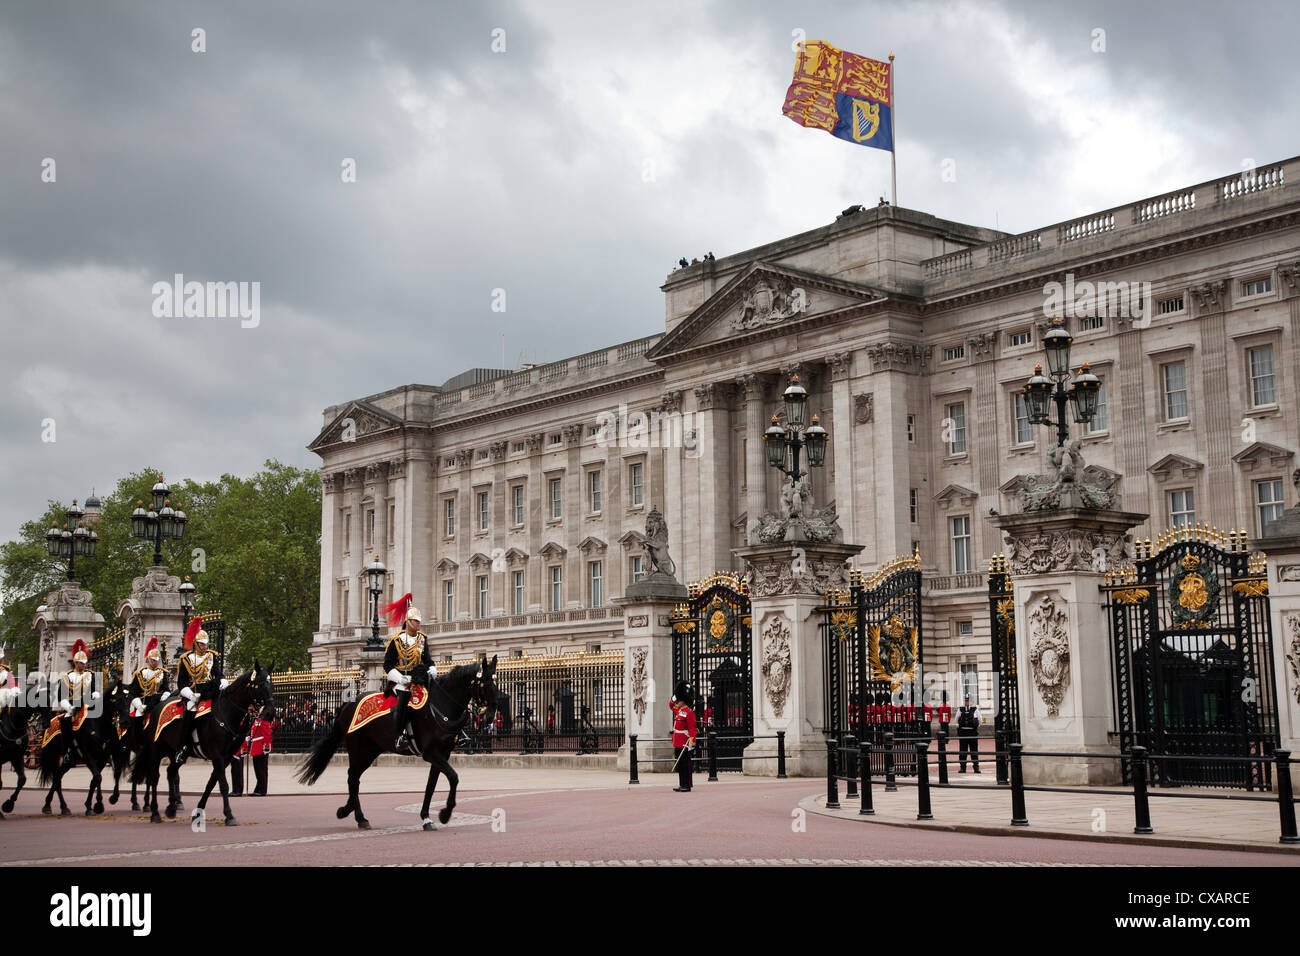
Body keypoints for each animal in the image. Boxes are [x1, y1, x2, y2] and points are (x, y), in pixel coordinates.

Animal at [130, 660, 273, 827]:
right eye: (260, 684)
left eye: (271, 684)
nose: (270, 713)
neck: (226, 714)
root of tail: (156, 707)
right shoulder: (217, 755)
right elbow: (223, 785)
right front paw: (229, 815)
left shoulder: (227, 757)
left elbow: (211, 784)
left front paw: (198, 813)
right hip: (156, 750)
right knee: (154, 777)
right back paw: (154, 812)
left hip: (175, 752)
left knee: (171, 772)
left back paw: (171, 807)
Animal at [299, 658, 496, 832]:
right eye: (485, 684)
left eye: (495, 684)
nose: (490, 717)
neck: (440, 706)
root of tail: (348, 704)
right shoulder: (431, 753)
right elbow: (454, 777)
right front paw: (445, 814)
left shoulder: (442, 754)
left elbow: (431, 785)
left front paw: (426, 817)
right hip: (357, 747)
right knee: (352, 777)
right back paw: (360, 817)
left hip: (371, 750)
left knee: (354, 777)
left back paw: (347, 810)